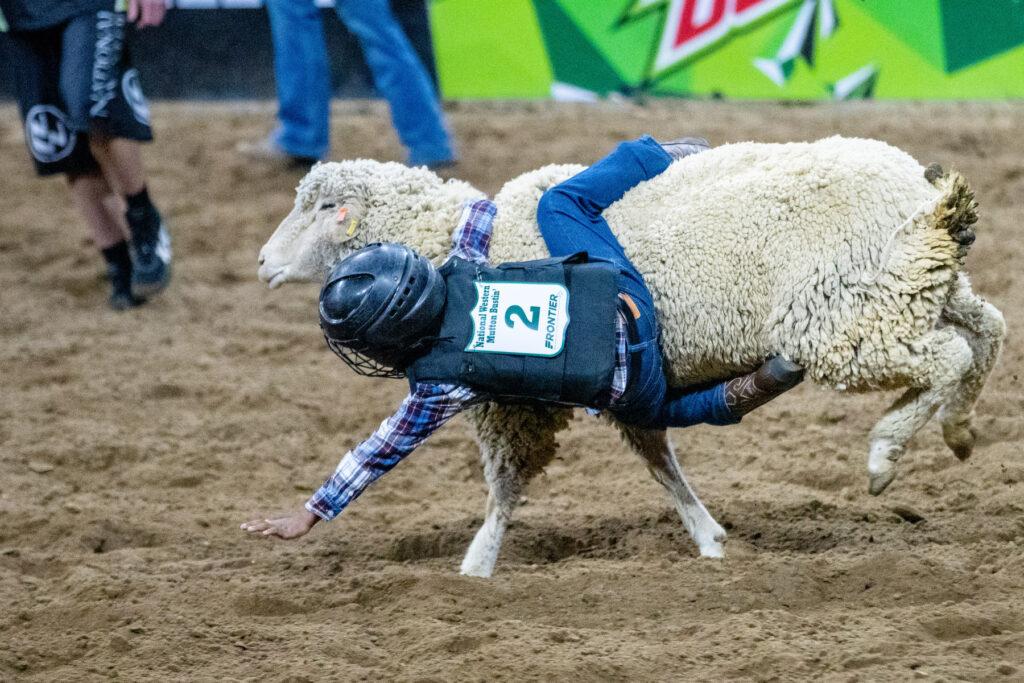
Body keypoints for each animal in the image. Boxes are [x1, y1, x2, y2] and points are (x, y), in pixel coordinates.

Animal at [258, 137, 1007, 577]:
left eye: (321, 208)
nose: (262, 261)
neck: (465, 241)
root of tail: (919, 194)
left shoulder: (508, 404)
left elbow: (504, 486)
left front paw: (476, 569)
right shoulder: (630, 387)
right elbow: (659, 461)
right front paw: (710, 539)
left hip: (842, 317)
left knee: (945, 358)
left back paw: (887, 453)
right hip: (911, 289)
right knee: (986, 335)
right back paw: (960, 430)